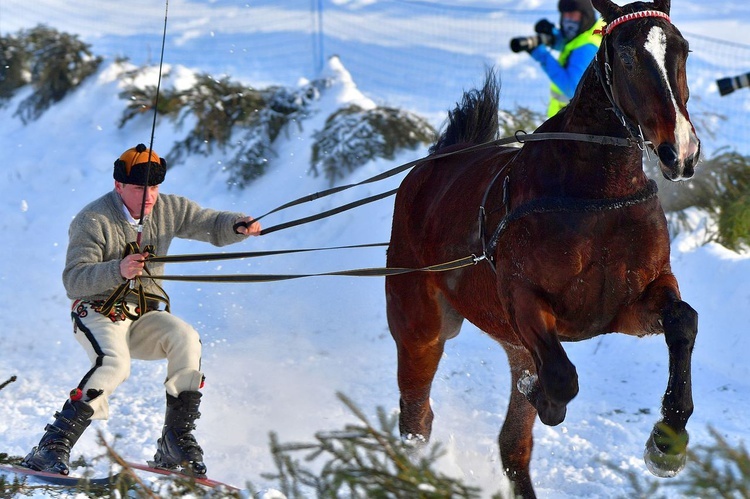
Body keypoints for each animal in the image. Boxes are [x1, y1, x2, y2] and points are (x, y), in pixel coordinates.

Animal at [384, 0, 704, 496]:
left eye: (682, 49)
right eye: (627, 57)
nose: (681, 151)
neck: (595, 195)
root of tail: (430, 169)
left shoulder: (629, 304)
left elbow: (682, 321)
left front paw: (667, 441)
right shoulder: (526, 303)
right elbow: (561, 379)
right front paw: (545, 398)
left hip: (511, 344)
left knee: (512, 446)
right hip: (421, 326)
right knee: (417, 417)